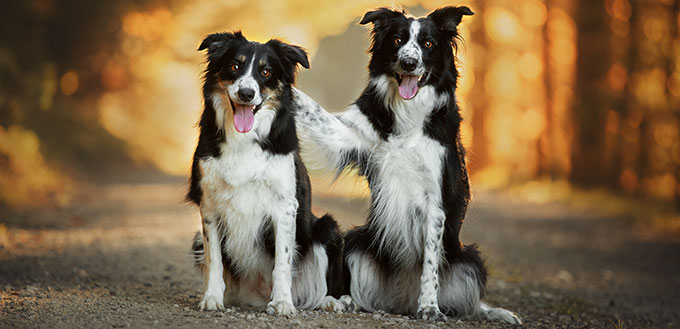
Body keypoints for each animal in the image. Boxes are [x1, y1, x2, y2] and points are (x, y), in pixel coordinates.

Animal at [189, 31, 346, 316]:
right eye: (234, 66)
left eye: (265, 71)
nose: (246, 93)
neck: (244, 139)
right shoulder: (209, 205)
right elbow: (214, 260)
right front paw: (212, 298)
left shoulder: (284, 205)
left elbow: (282, 261)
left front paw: (283, 302)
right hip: (196, 239)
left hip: (327, 228)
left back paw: (330, 301)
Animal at [292, 6, 520, 322]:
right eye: (398, 40)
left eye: (428, 44)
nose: (409, 63)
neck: (409, 113)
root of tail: (402, 301)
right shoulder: (349, 135)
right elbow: (315, 112)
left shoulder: (435, 201)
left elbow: (430, 266)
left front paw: (429, 307)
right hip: (357, 242)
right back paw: (347, 301)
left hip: (469, 261)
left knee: (470, 302)